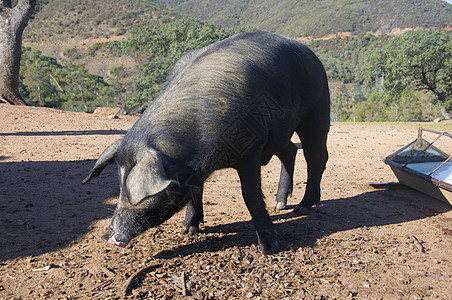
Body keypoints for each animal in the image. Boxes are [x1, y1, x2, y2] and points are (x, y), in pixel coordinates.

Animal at [82, 31, 328, 254]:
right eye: (119, 184)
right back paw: (280, 205)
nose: (108, 235)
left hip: (317, 109)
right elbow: (195, 192)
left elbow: (252, 196)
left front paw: (270, 248)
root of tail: (309, 53)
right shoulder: (196, 169)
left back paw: (302, 208)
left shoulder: (250, 150)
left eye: (137, 193)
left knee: (316, 157)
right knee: (290, 151)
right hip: (279, 133)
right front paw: (188, 231)